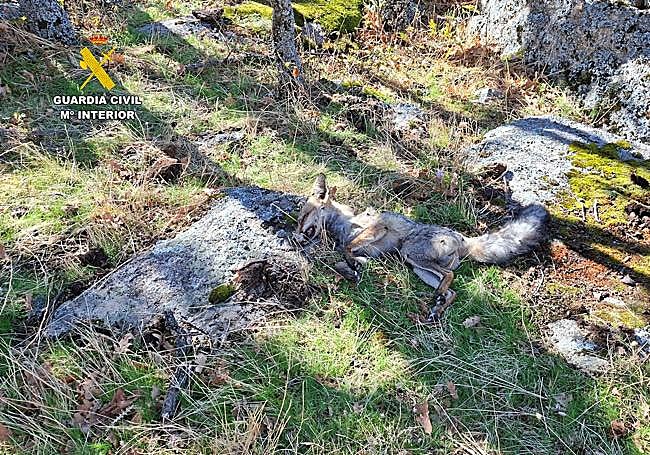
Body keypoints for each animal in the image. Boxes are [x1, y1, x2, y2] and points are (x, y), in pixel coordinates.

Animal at [294, 174, 549, 311]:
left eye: (302, 218)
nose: (295, 238)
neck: (344, 224)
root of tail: (465, 239)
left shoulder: (378, 227)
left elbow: (348, 248)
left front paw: (353, 265)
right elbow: (346, 254)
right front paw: (354, 266)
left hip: (411, 253)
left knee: (450, 275)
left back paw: (438, 301)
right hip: (419, 269)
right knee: (452, 291)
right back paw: (438, 307)